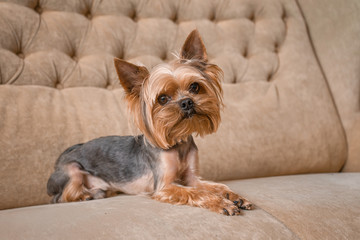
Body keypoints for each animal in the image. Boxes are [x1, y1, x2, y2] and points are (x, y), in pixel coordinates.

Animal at [45, 30, 253, 216]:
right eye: (162, 99)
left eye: (195, 87)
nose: (186, 102)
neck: (178, 141)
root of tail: (61, 158)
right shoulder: (164, 186)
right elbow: (196, 192)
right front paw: (221, 203)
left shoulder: (193, 178)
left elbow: (215, 186)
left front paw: (235, 196)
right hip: (72, 171)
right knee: (60, 197)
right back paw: (86, 195)